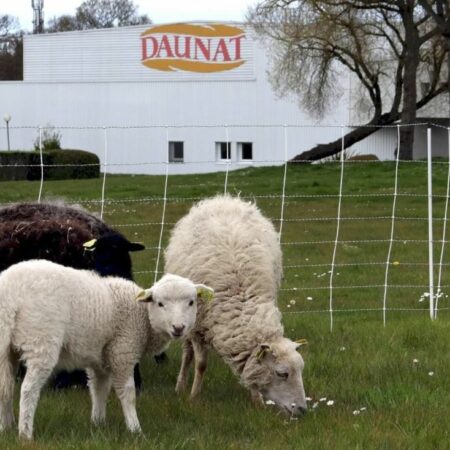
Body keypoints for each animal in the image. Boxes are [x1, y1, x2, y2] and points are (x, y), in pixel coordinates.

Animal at [0, 260, 214, 440]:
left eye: (191, 302)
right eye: (160, 303)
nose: (178, 328)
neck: (143, 317)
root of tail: (10, 294)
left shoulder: (100, 359)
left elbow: (99, 389)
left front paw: (98, 423)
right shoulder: (122, 352)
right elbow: (128, 393)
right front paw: (135, 429)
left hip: (5, 347)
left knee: (5, 387)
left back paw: (6, 427)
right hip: (41, 339)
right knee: (28, 390)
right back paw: (25, 434)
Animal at [165, 195, 310, 416]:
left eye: (300, 370)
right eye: (282, 373)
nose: (302, 410)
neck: (239, 298)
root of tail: (224, 199)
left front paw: (257, 401)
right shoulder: (198, 327)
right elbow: (201, 364)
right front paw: (193, 397)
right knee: (187, 352)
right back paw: (180, 386)